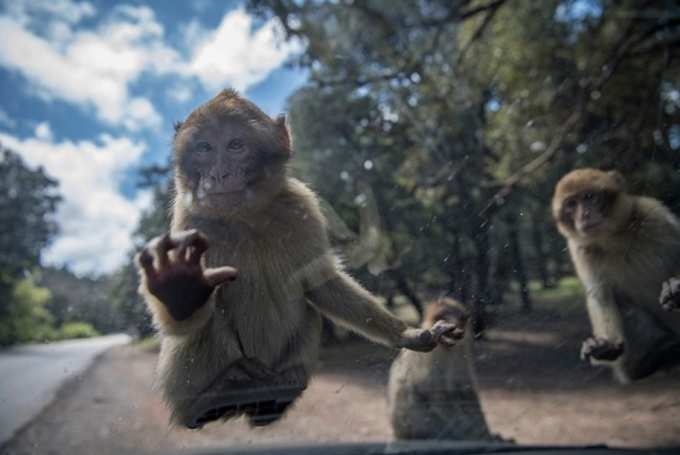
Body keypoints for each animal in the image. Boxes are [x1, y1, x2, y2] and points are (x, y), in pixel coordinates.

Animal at [134, 90, 462, 432]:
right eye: (204, 148)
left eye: (235, 145)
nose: (219, 174)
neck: (245, 218)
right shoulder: (187, 220)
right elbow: (180, 321)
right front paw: (179, 288)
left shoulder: (301, 204)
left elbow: (320, 279)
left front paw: (407, 335)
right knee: (208, 324)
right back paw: (215, 395)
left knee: (308, 309)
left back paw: (283, 390)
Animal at [386, 300, 496, 442]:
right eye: (443, 317)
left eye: (460, 318)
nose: (456, 329)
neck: (447, 348)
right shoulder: (430, 352)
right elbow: (436, 396)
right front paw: (476, 435)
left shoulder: (462, 347)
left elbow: (465, 391)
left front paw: (485, 433)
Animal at [552, 168, 680, 384]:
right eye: (571, 204)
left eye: (589, 197)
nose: (584, 215)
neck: (614, 239)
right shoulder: (580, 250)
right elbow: (600, 294)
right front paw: (607, 346)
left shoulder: (655, 215)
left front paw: (676, 289)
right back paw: (656, 357)